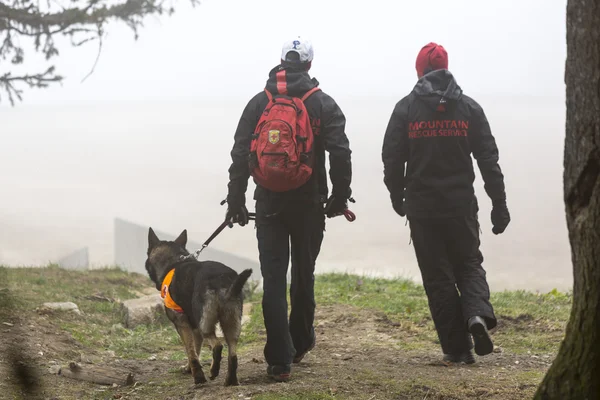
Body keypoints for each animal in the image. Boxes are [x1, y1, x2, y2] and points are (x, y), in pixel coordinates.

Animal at [146, 227, 253, 386]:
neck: (174, 262)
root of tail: (221, 279)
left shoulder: (182, 324)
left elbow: (191, 352)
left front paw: (197, 376)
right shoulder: (195, 329)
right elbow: (195, 349)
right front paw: (189, 369)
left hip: (205, 323)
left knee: (217, 345)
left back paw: (213, 372)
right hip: (231, 323)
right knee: (232, 353)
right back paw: (231, 380)